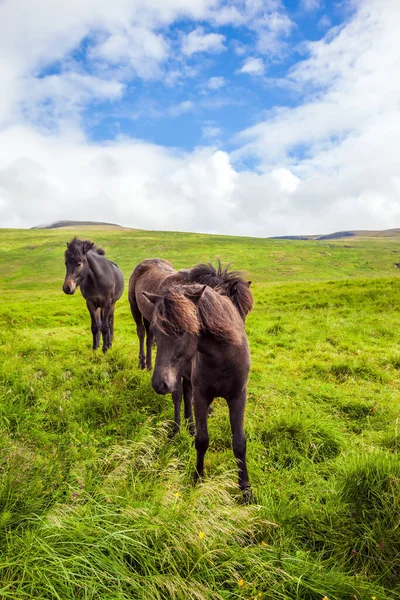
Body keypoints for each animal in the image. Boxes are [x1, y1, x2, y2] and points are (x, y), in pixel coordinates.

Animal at [128, 256, 253, 432]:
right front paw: (180, 427)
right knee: (141, 333)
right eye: (227, 307)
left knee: (150, 339)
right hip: (135, 309)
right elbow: (179, 393)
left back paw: (149, 365)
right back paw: (142, 364)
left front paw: (193, 422)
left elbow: (190, 391)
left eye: (245, 312)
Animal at [142, 284, 252, 500]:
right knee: (178, 398)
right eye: (154, 330)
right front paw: (197, 478)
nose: (159, 383)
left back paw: (189, 426)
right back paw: (176, 430)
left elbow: (239, 444)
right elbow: (202, 440)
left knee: (186, 395)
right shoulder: (201, 397)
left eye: (182, 330)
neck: (223, 356)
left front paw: (245, 490)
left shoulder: (238, 397)